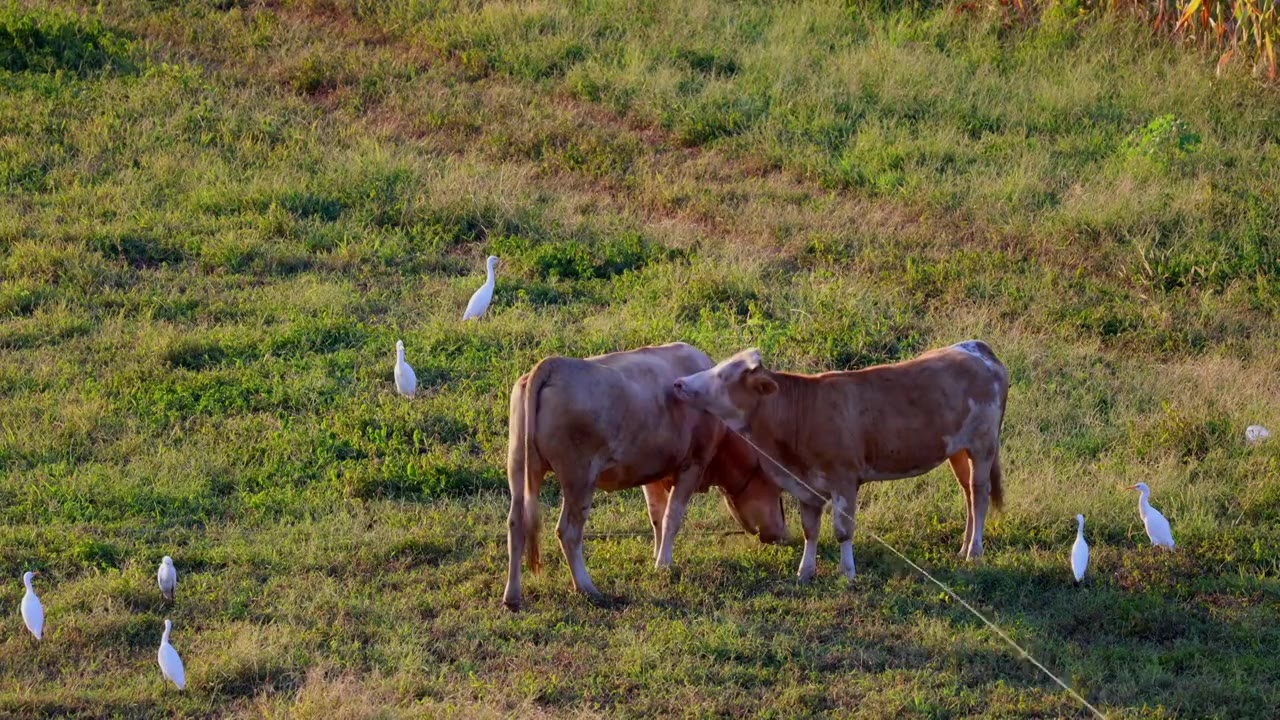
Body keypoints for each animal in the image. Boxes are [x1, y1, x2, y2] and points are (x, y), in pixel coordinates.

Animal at [501, 340, 783, 604]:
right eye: (778, 490)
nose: (781, 533)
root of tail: (554, 364)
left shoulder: (652, 472)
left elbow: (656, 516)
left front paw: (657, 556)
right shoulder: (692, 465)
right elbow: (671, 517)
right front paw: (664, 565)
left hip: (518, 467)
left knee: (516, 523)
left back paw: (512, 596)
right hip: (579, 478)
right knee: (569, 531)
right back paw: (587, 587)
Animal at [670, 338, 1008, 579]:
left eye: (724, 375)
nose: (679, 383)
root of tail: (975, 348)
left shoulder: (844, 479)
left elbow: (843, 530)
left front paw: (847, 573)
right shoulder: (807, 485)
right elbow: (810, 529)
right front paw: (805, 572)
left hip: (983, 445)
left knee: (979, 495)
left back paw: (974, 551)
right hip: (958, 450)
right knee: (967, 494)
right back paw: (963, 547)